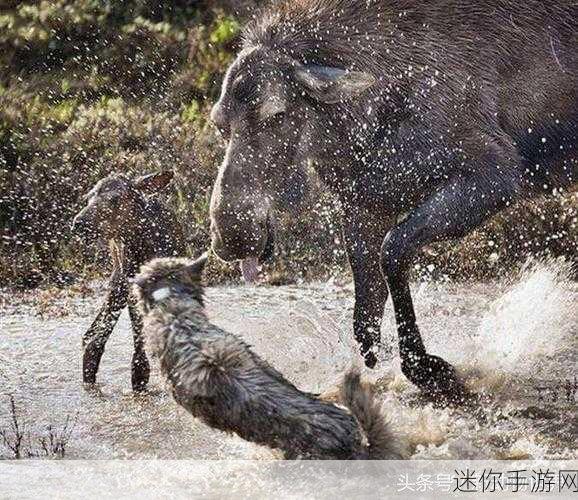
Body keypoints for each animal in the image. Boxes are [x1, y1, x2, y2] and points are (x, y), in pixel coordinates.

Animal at [72, 171, 184, 390]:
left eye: (114, 198)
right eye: (88, 197)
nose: (79, 223)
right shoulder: (129, 286)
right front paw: (139, 375)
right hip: (118, 279)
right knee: (96, 332)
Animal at [206, 0, 572, 398]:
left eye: (277, 114)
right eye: (219, 124)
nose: (231, 236)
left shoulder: (494, 175)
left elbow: (393, 252)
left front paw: (428, 369)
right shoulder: (366, 205)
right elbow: (363, 315)